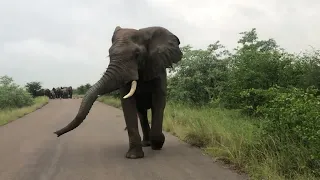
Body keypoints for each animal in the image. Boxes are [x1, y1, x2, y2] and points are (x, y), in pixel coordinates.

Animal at [53, 25, 182, 159]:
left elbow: (158, 101)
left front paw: (157, 145)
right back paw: (146, 143)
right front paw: (134, 156)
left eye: (137, 54)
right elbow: (127, 103)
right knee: (142, 113)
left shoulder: (158, 67)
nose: (55, 133)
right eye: (109, 55)